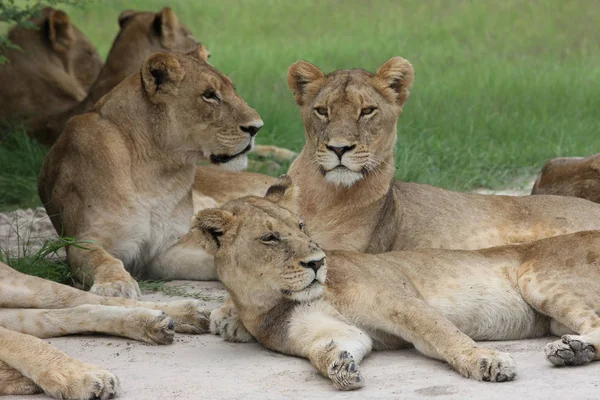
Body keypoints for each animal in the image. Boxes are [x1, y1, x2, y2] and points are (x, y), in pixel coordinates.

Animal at [0, 260, 211, 398]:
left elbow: (27, 343)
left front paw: (80, 378)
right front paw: (18, 379)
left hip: (25, 288)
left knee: (95, 299)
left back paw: (188, 312)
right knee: (79, 310)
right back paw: (154, 324)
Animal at [192, 178, 600, 390]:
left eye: (301, 227)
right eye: (270, 239)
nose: (318, 262)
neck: (271, 300)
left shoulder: (399, 300)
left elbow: (443, 335)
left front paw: (486, 361)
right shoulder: (332, 330)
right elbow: (326, 349)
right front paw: (338, 366)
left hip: (538, 277)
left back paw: (571, 351)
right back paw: (574, 351)